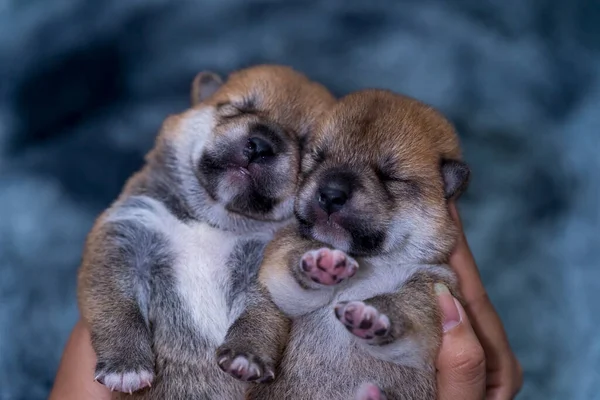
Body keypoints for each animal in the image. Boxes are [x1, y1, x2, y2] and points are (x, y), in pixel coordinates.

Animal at [75, 64, 336, 398]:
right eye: (235, 108)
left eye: (304, 145)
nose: (261, 145)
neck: (211, 221)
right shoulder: (123, 239)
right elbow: (117, 308)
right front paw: (126, 366)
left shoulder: (264, 268)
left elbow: (261, 315)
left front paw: (246, 355)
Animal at [218, 90, 472, 400]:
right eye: (318, 159)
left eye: (390, 176)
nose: (330, 194)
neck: (371, 262)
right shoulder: (279, 275)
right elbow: (288, 277)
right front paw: (321, 264)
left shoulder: (431, 290)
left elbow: (407, 310)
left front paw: (373, 314)